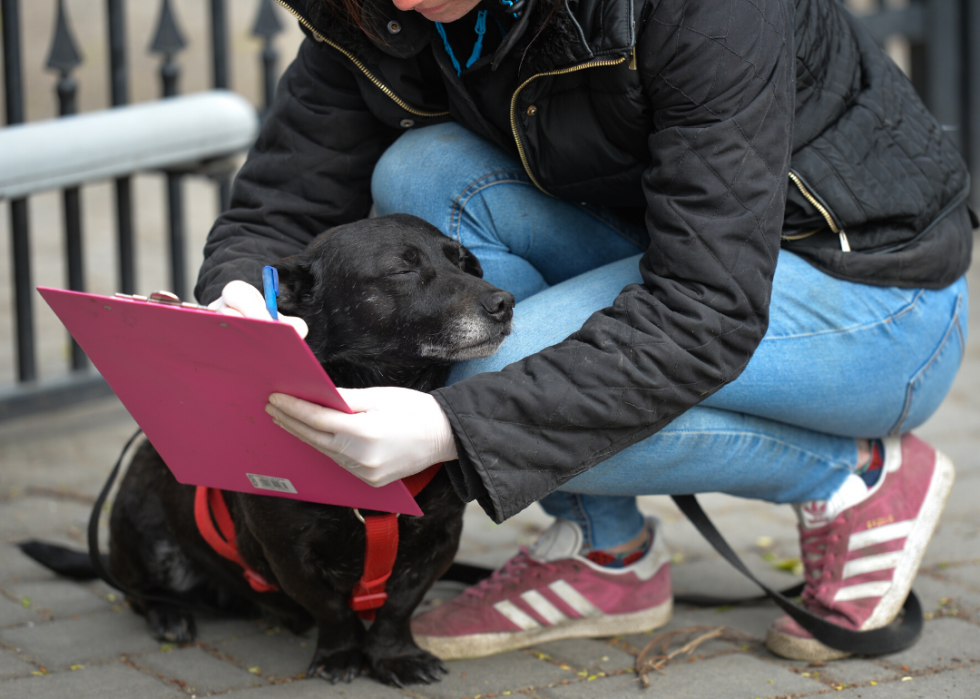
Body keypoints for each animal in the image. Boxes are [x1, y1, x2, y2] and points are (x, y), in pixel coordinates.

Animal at [19, 216, 516, 688]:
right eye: (401, 269)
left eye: (464, 263)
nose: (504, 302)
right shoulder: (289, 553)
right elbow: (332, 609)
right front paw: (341, 653)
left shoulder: (440, 538)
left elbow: (398, 606)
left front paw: (395, 655)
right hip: (148, 542)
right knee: (137, 593)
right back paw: (170, 615)